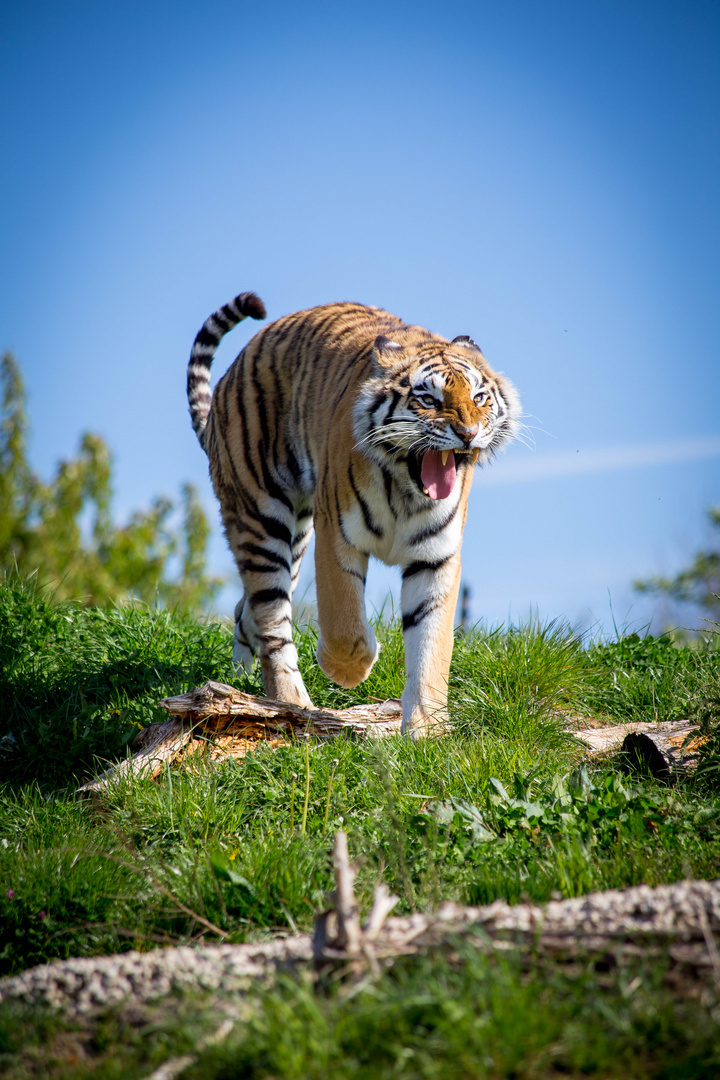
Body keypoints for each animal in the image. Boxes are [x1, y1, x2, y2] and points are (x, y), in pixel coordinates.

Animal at [188, 291, 520, 738]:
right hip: (262, 519)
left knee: (248, 609)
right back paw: (290, 702)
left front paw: (427, 732)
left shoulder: (436, 557)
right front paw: (351, 670)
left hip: (295, 541)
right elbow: (344, 623)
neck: (405, 487)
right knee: (272, 617)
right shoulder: (336, 537)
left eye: (479, 398)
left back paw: (235, 681)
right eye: (428, 400)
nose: (468, 434)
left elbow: (432, 645)